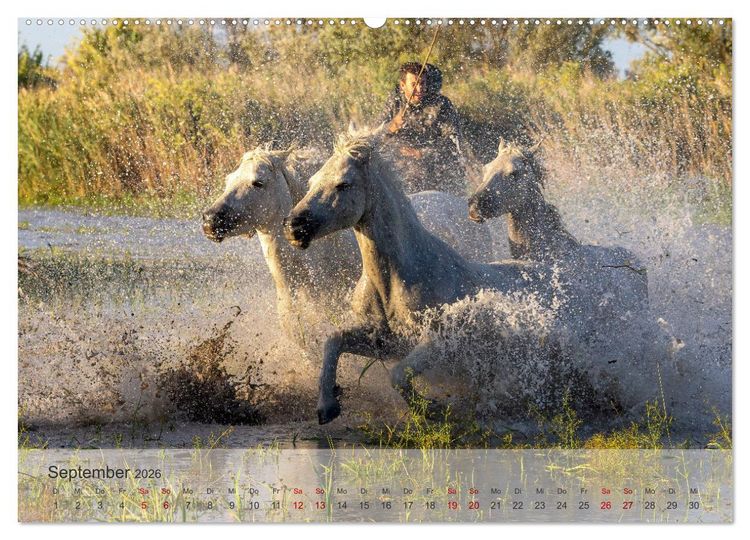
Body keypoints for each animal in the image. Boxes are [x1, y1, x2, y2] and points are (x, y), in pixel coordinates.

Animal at [283, 127, 554, 424]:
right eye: (312, 181)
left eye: (343, 184)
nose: (294, 226)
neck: (396, 279)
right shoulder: (385, 341)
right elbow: (333, 341)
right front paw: (327, 405)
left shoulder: (440, 342)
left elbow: (398, 375)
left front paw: (431, 408)